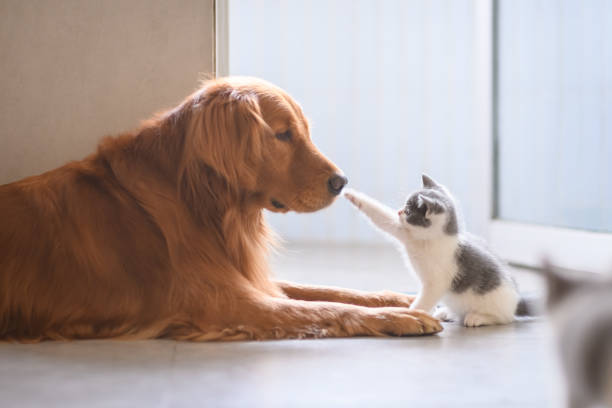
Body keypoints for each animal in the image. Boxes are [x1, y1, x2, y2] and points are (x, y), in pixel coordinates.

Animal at [346, 174, 528, 326]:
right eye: (404, 206)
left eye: (408, 210)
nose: (399, 211)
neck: (426, 241)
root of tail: (515, 301)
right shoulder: (405, 233)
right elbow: (382, 217)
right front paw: (352, 195)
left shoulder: (436, 283)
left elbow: (425, 300)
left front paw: (410, 314)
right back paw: (446, 313)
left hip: (496, 301)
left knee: (503, 318)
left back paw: (478, 317)